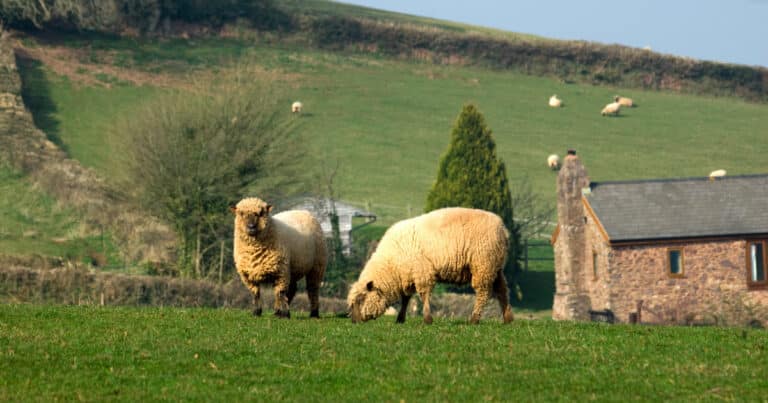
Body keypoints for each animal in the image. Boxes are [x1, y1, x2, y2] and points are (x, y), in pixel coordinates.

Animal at [344, 208, 512, 326]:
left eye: (361, 299)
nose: (354, 322)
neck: (391, 264)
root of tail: (502, 229)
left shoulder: (422, 271)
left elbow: (424, 294)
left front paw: (427, 319)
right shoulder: (408, 275)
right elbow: (406, 298)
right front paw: (400, 319)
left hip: (483, 264)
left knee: (483, 293)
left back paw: (474, 319)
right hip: (496, 267)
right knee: (502, 290)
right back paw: (507, 318)